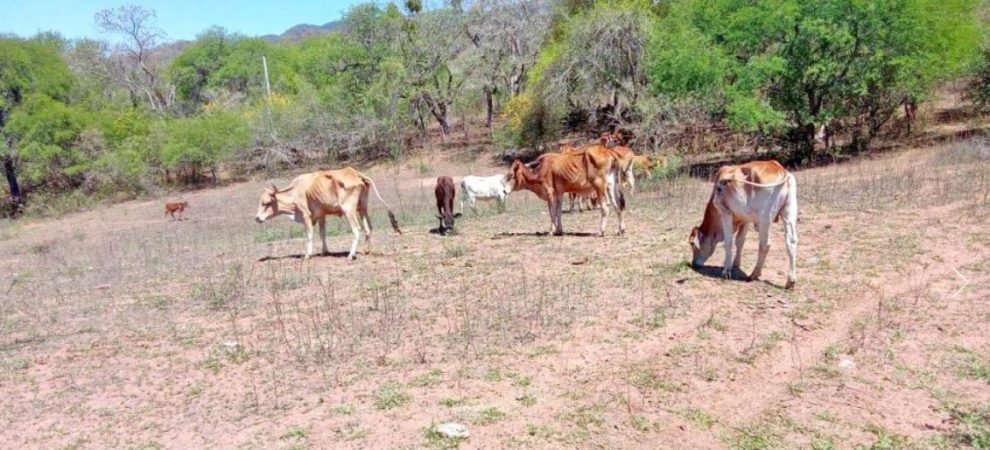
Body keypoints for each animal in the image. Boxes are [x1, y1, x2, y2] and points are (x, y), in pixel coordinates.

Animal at [254, 167, 402, 260]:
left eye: (266, 203)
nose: (257, 218)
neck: (296, 191)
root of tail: (356, 174)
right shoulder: (321, 215)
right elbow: (322, 234)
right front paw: (324, 252)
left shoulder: (306, 215)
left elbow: (309, 235)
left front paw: (307, 255)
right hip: (362, 209)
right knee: (368, 228)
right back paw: (366, 251)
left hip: (349, 210)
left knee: (356, 229)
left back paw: (351, 255)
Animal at [688, 160, 798, 289]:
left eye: (692, 244)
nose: (694, 263)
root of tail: (780, 168)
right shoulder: (746, 220)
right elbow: (740, 241)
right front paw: (736, 264)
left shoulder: (725, 212)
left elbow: (729, 242)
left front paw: (726, 271)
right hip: (789, 214)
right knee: (791, 242)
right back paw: (791, 280)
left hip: (765, 218)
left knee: (765, 244)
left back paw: (754, 274)